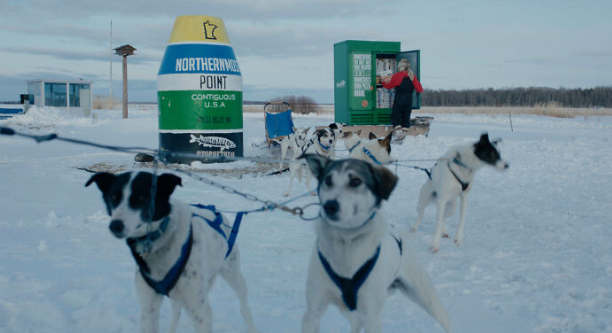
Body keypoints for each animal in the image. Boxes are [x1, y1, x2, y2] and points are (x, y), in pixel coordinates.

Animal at [86, 171, 258, 332]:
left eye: (141, 197)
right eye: (114, 197)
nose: (115, 225)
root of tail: (215, 210)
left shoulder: (201, 312)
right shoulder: (148, 308)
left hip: (233, 274)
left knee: (244, 307)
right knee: (176, 312)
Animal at [298, 156, 452, 332]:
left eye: (355, 181)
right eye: (328, 180)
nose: (329, 206)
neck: (346, 242)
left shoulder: (371, 316)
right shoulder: (313, 313)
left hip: (427, 299)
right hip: (348, 309)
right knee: (356, 323)